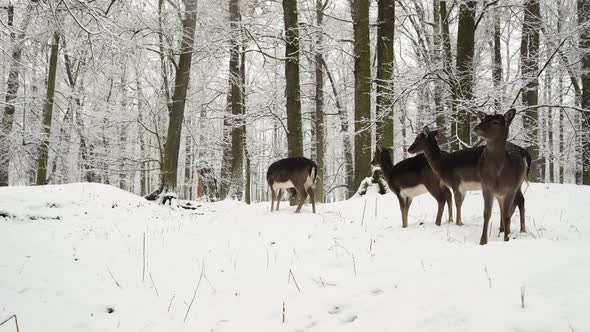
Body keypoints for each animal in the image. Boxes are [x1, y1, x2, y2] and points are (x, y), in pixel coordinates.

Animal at [476, 109, 532, 244]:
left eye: (495, 122)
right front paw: (483, 241)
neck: (497, 174)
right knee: (503, 207)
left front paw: (507, 239)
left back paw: (521, 230)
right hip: (501, 192)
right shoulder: (486, 187)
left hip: (518, 183)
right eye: (483, 119)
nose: (476, 128)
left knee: (519, 201)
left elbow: (507, 214)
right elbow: (487, 213)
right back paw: (502, 229)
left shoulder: (510, 188)